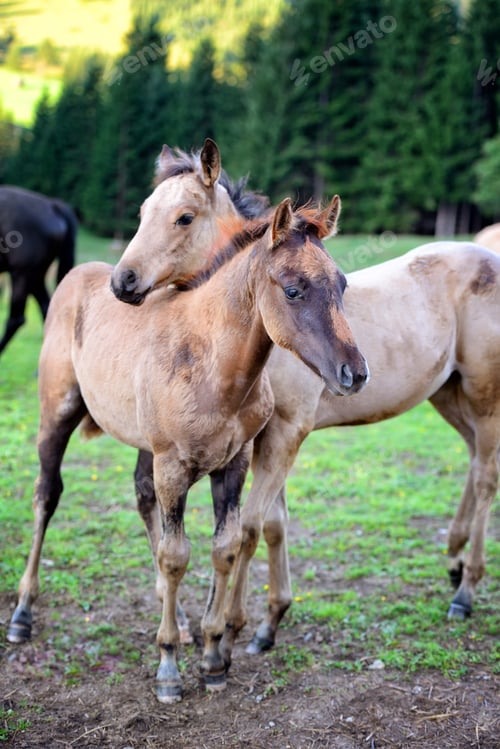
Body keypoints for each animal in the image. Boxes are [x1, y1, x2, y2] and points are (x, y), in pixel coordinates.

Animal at [7, 197, 369, 704]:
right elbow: (176, 555)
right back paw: (23, 612)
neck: (214, 367)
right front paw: (168, 669)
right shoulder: (173, 466)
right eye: (294, 290)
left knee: (141, 497)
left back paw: (177, 618)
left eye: (342, 284)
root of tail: (78, 275)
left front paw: (214, 655)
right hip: (56, 413)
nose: (354, 373)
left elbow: (225, 548)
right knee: (47, 495)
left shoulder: (234, 463)